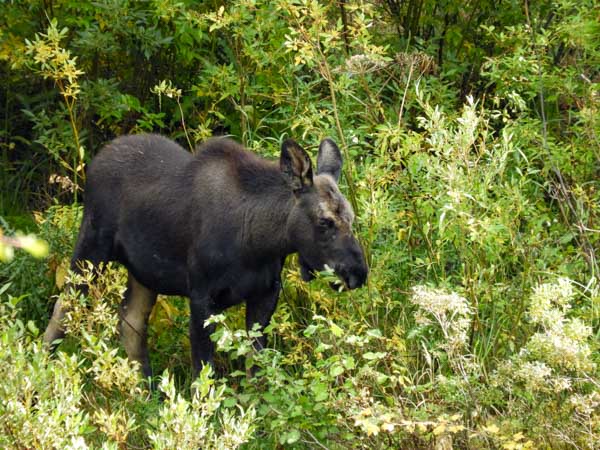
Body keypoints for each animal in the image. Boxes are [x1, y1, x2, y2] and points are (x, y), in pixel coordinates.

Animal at [43, 133, 366, 376]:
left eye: (351, 218)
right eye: (324, 221)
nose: (357, 273)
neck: (258, 240)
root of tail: (97, 159)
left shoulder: (266, 292)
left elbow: (256, 365)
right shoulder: (201, 296)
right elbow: (204, 371)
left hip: (143, 273)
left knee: (131, 322)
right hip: (91, 248)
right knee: (63, 307)